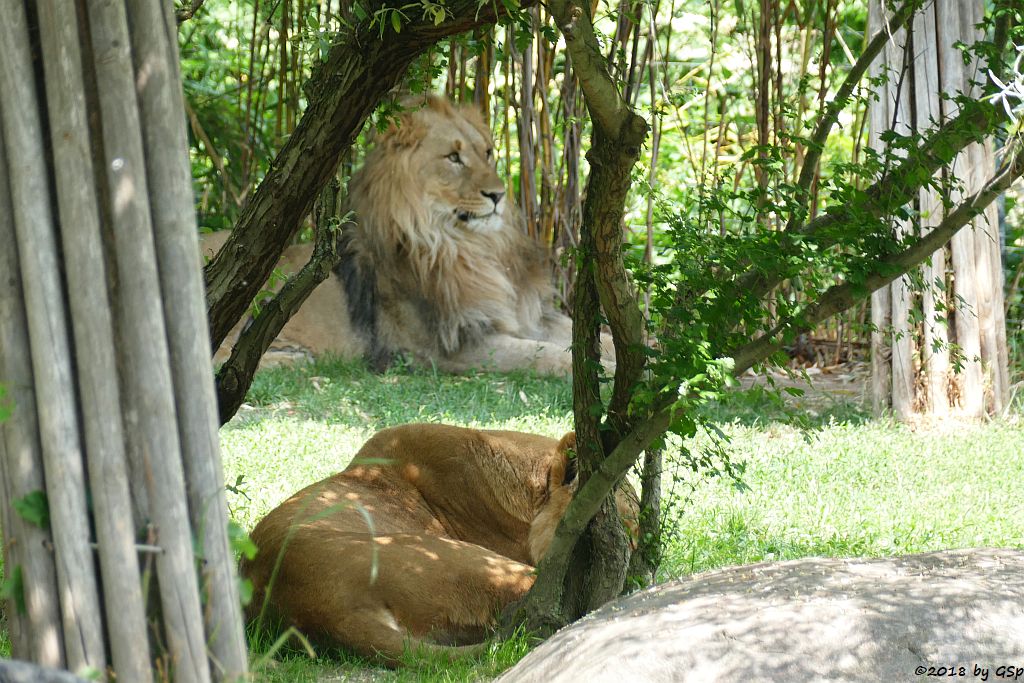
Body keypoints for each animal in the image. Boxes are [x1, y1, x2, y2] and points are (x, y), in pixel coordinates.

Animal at [201, 95, 593, 374]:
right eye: (453, 157)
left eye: (487, 153)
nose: (499, 195)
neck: (467, 246)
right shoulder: (450, 348)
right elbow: (545, 356)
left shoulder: (530, 317)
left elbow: (583, 336)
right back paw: (291, 360)